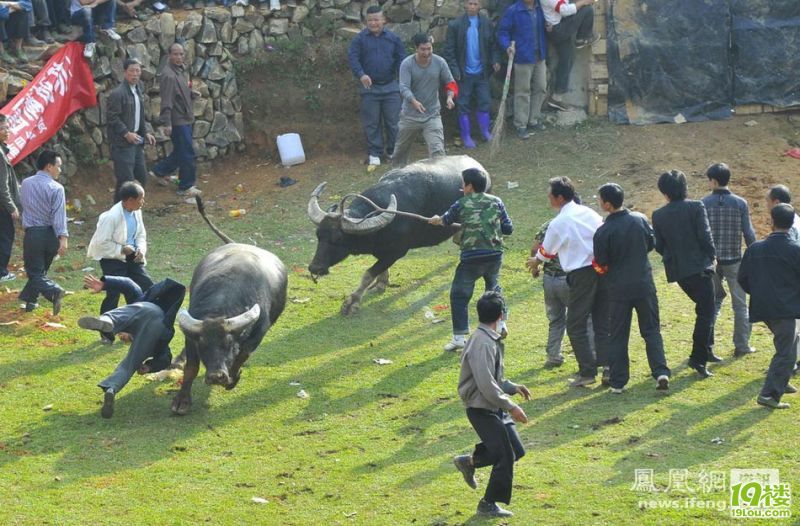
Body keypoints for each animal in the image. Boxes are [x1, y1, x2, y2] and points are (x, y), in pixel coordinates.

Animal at [172, 198, 288, 416]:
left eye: (229, 344)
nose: (216, 376)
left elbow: (242, 355)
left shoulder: (258, 333)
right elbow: (191, 366)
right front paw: (182, 400)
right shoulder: (192, 338)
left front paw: (232, 379)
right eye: (203, 346)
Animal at [310, 155, 490, 316]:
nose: (314, 267)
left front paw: (352, 302)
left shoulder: (397, 252)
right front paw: (381, 283)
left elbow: (368, 274)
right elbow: (379, 270)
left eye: (338, 239)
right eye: (318, 235)